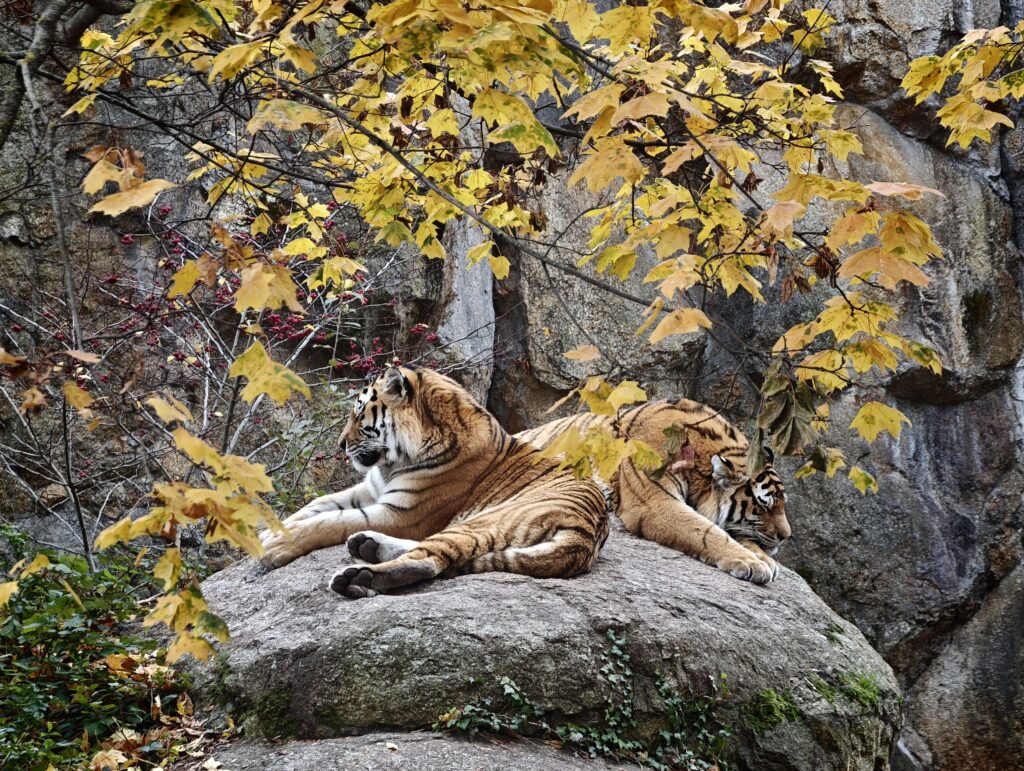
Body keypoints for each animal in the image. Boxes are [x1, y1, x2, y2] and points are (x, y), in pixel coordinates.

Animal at [259, 366, 609, 599]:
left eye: (359, 416)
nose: (341, 445)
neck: (394, 461)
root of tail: (584, 537)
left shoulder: (402, 514)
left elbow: (332, 521)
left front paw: (276, 546)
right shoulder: (370, 489)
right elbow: (319, 504)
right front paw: (268, 530)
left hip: (484, 520)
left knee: (430, 560)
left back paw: (359, 576)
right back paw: (366, 546)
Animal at [515, 399, 791, 584]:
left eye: (782, 504)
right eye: (763, 506)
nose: (785, 536)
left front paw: (763, 558)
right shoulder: (656, 503)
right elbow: (707, 532)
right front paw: (751, 562)